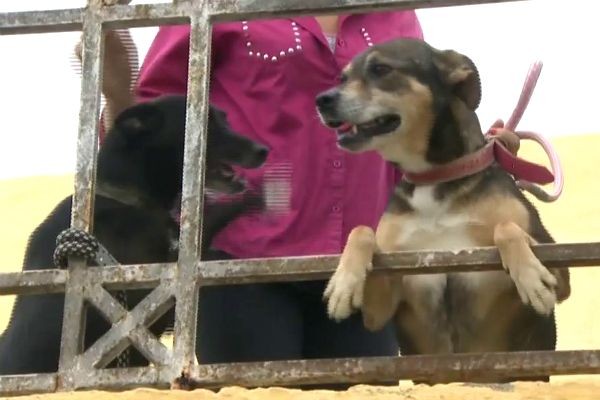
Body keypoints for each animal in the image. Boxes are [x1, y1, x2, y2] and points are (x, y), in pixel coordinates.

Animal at [316, 39, 568, 382]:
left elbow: (506, 228)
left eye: (381, 69)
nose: (322, 100)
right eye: (342, 77)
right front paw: (343, 285)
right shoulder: (381, 307)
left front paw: (530, 277)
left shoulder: (561, 272)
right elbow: (361, 231)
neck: (435, 180)